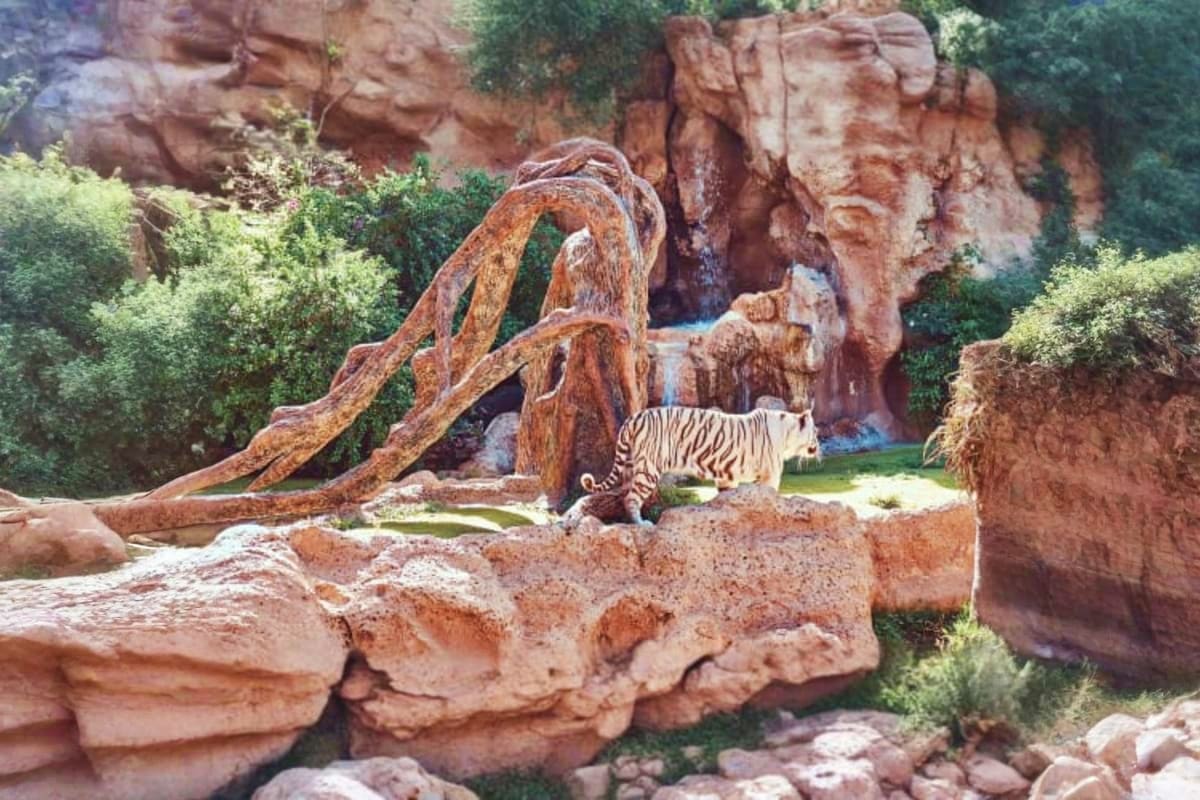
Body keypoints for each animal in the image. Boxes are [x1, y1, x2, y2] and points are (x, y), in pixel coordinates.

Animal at [581, 406, 821, 526]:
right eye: (816, 433)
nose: (819, 447)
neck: (787, 434)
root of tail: (634, 417)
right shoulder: (770, 474)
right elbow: (769, 496)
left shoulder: (726, 475)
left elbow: (729, 497)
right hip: (649, 468)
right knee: (631, 497)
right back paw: (642, 523)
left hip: (631, 465)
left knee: (623, 494)